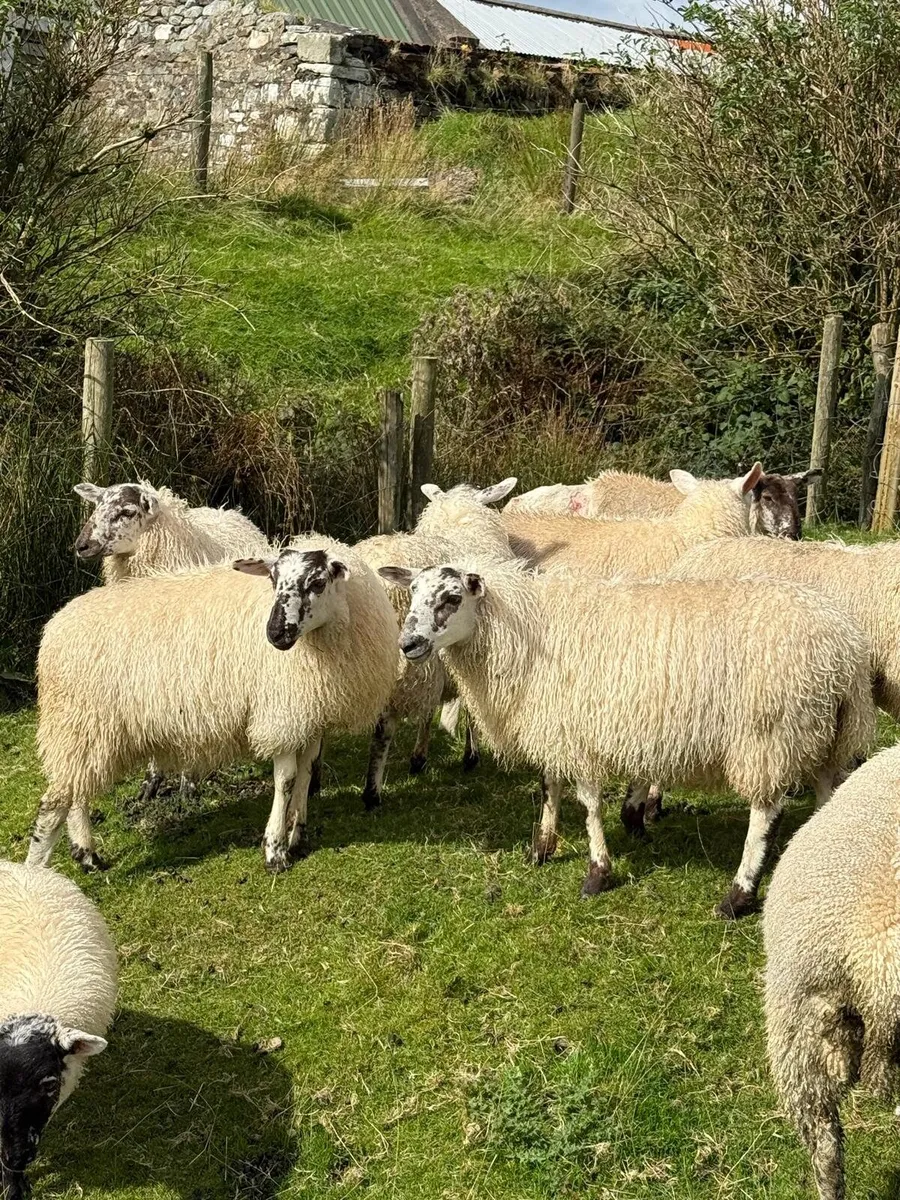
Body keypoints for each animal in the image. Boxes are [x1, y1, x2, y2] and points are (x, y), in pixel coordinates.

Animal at [26, 537, 398, 875]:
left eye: (318, 583)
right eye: (272, 580)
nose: (275, 634)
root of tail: (54, 628)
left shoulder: (310, 713)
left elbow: (306, 774)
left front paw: (297, 836)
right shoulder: (279, 712)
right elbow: (286, 780)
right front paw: (275, 850)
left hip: (84, 731)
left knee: (77, 793)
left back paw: (86, 855)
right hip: (77, 721)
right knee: (55, 801)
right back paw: (38, 867)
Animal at [378, 559, 874, 918]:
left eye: (451, 598)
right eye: (413, 593)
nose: (408, 644)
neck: (520, 630)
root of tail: (845, 650)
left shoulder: (578, 731)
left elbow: (589, 803)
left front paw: (597, 873)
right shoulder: (554, 724)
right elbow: (549, 785)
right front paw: (542, 848)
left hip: (771, 734)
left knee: (766, 812)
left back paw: (738, 896)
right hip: (825, 733)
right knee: (828, 796)